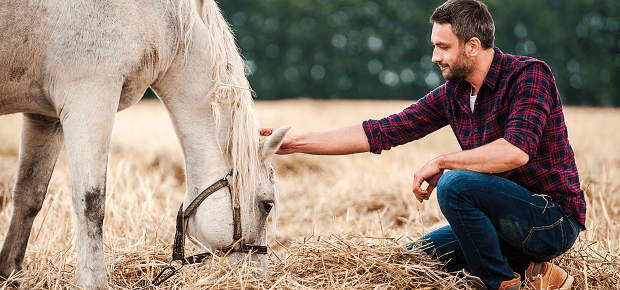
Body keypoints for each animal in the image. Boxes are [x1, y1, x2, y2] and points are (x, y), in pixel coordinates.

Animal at [0, 0, 290, 288]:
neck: (164, 21)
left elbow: (29, 196)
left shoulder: (45, 116)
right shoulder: (90, 96)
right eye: (267, 205)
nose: (257, 276)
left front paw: (10, 272)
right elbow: (91, 201)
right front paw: (93, 281)